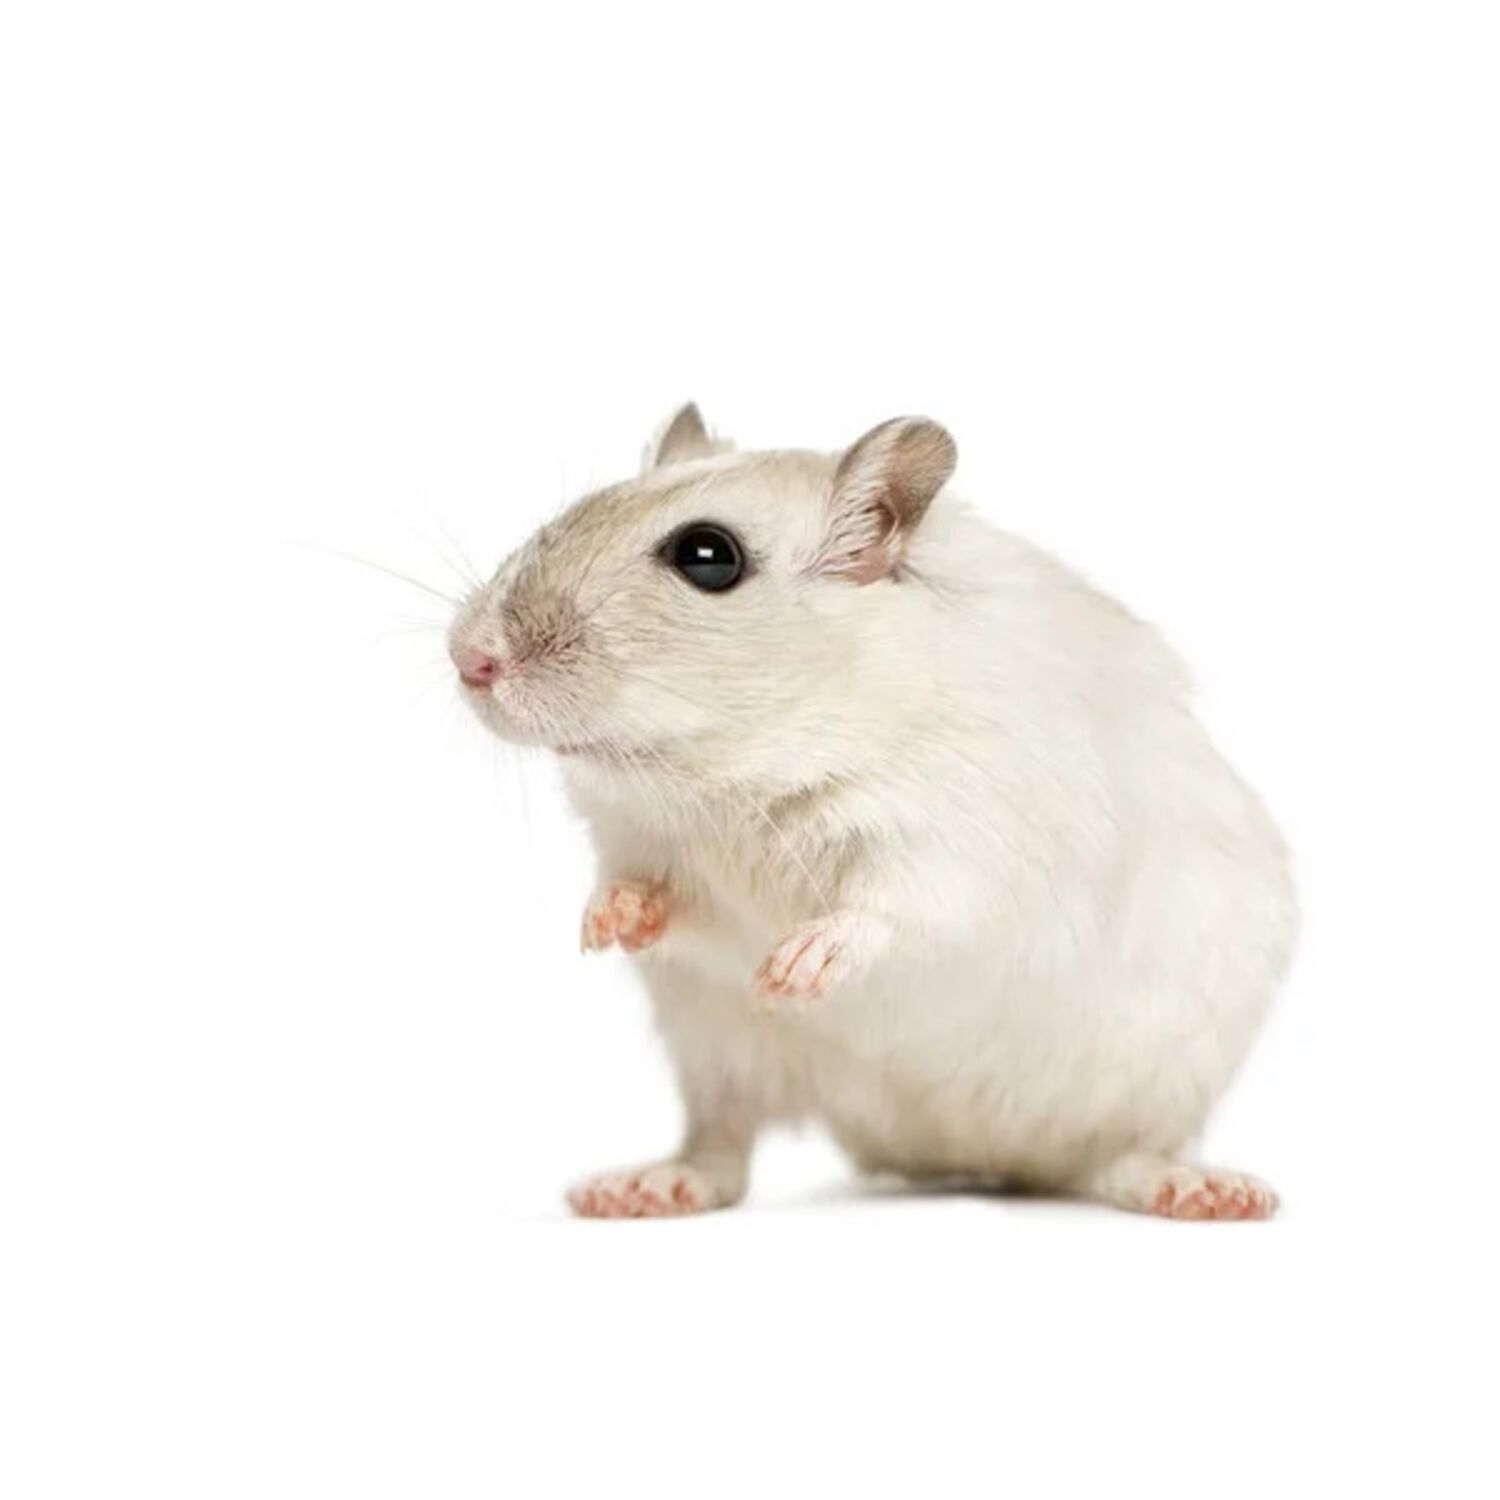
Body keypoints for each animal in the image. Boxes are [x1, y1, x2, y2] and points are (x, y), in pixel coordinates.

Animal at [448, 405, 1297, 1220]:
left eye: (707, 556)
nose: (468, 659)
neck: (736, 770)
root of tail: (966, 1150)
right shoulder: (651, 850)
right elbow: (664, 899)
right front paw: (605, 925)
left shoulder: (957, 848)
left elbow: (895, 913)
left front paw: (795, 968)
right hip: (718, 1053)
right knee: (721, 1147)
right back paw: (642, 1189)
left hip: (1157, 1071)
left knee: (1119, 1154)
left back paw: (1209, 1194)